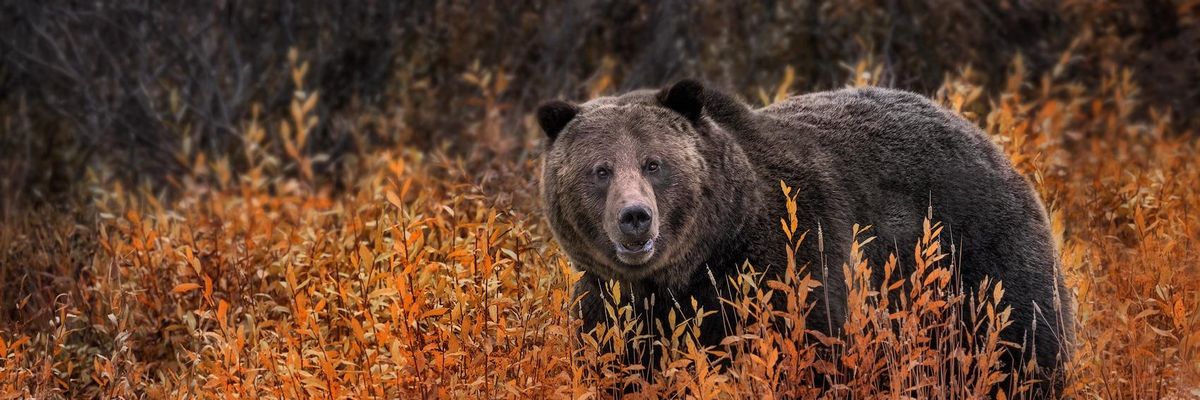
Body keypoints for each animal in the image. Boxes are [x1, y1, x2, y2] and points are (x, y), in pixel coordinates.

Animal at [537, 80, 1075, 394]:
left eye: (654, 163)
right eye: (600, 169)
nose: (635, 217)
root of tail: (988, 140)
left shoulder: (790, 270)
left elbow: (814, 352)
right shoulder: (613, 308)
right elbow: (618, 367)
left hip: (977, 259)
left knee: (1022, 347)